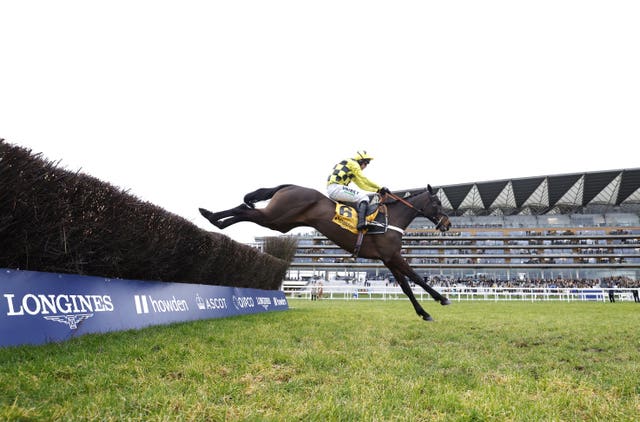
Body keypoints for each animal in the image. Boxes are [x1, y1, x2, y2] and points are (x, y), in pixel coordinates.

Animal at [198, 184, 452, 320]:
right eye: (438, 203)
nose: (448, 224)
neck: (390, 221)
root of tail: (289, 186)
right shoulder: (393, 257)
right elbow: (417, 278)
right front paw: (442, 298)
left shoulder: (388, 259)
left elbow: (406, 287)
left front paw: (423, 312)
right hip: (275, 216)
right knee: (244, 209)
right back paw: (210, 216)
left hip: (280, 223)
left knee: (246, 211)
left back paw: (213, 218)